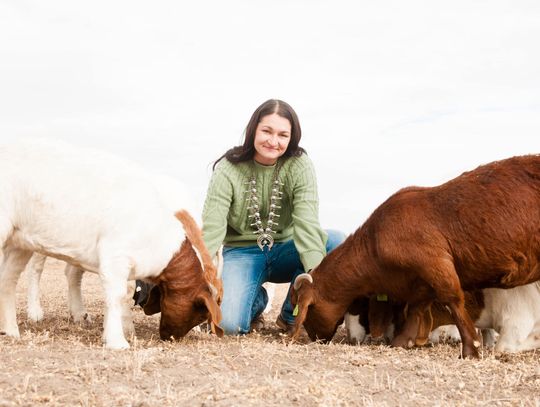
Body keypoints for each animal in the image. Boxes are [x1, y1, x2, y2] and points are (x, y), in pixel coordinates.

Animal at [0, 139, 223, 350]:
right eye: (201, 312)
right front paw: (118, 340)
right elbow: (116, 295)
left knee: (9, 280)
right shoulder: (115, 256)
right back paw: (35, 312)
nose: (171, 338)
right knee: (35, 270)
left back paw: (13, 330)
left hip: (21, 242)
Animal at [292, 155, 540, 358]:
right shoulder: (421, 280)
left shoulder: (436, 265)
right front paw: (403, 341)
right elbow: (417, 307)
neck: (375, 240)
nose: (315, 338)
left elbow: (453, 300)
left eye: (306, 309)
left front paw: (471, 349)